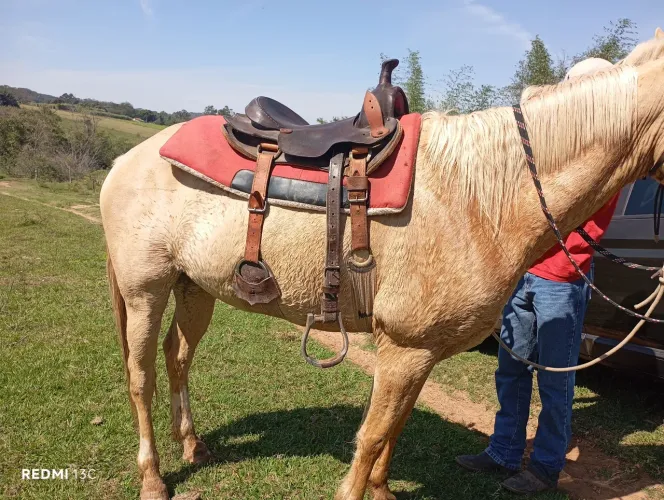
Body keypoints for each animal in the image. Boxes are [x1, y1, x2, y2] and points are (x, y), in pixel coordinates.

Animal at [100, 36, 664, 500]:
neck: (481, 199)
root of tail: (129, 158)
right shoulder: (405, 349)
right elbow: (373, 436)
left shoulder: (419, 353)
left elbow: (394, 429)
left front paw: (382, 490)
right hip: (145, 290)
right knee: (140, 375)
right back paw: (153, 478)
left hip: (194, 288)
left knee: (177, 358)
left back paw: (193, 446)